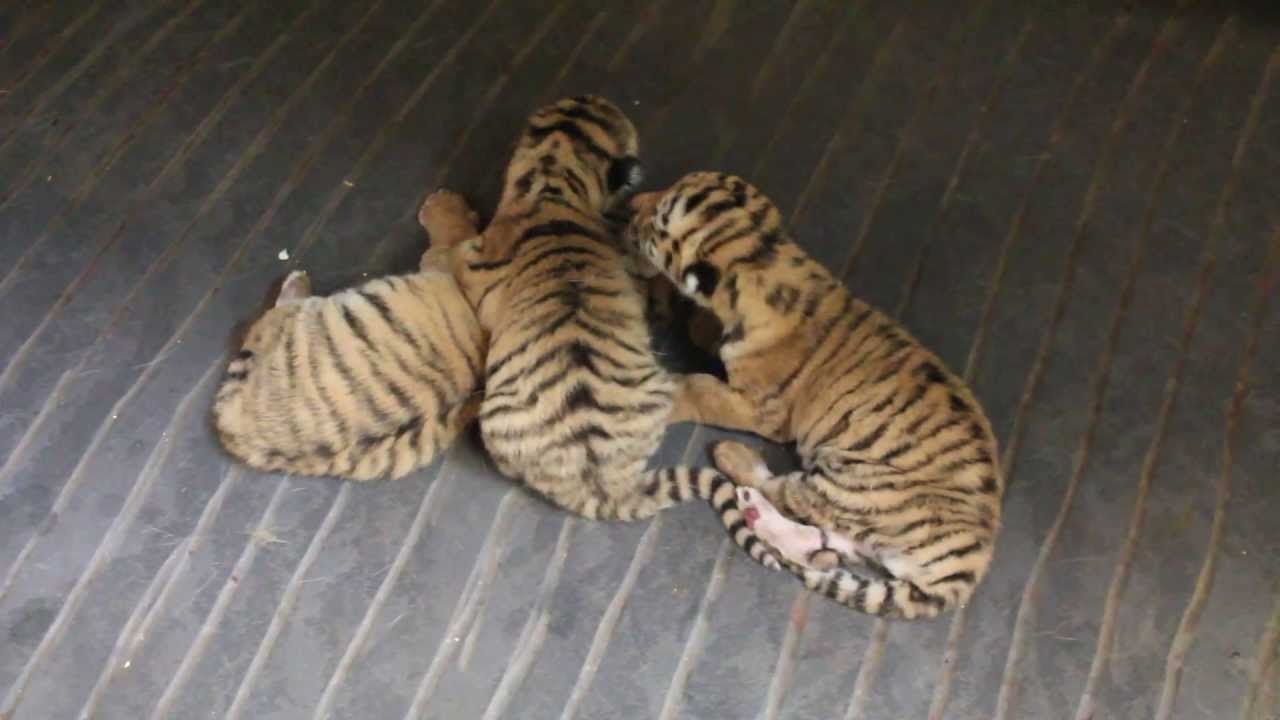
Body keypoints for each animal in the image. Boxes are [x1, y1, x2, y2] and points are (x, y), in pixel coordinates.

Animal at [421, 96, 779, 569]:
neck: (551, 182)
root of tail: (604, 483)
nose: (595, 98)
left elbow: (442, 249)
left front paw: (441, 206)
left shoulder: (464, 261)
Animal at [622, 171, 1004, 620]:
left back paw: (734, 459)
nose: (631, 203)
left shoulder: (761, 408)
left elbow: (701, 389)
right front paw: (693, 319)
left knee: (787, 493)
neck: (765, 254)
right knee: (833, 541)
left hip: (857, 482)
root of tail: (971, 562)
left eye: (657, 224)